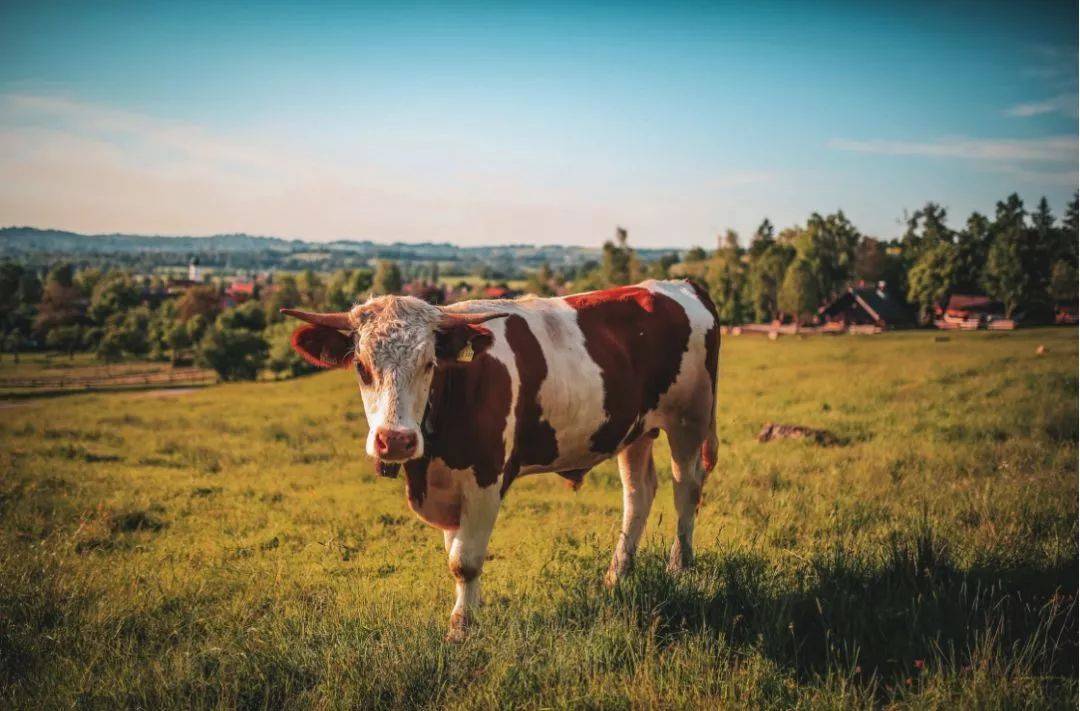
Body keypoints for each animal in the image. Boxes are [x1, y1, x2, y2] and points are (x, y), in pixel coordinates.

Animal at [287, 278, 721, 639]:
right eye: (362, 368)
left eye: (428, 364)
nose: (395, 440)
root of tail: (679, 284)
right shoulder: (450, 489)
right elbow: (456, 551)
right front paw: (469, 612)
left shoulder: (485, 478)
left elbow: (465, 561)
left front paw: (461, 629)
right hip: (635, 430)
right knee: (638, 493)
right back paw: (616, 575)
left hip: (690, 418)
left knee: (686, 488)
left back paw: (680, 567)